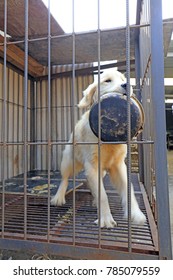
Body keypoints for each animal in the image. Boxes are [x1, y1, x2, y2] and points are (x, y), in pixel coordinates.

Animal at [51, 69, 146, 228]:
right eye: (107, 80)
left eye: (122, 79)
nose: (127, 85)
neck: (107, 142)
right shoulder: (92, 165)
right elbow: (103, 195)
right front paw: (106, 219)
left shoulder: (118, 165)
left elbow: (128, 191)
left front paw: (135, 214)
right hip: (69, 160)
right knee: (64, 178)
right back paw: (58, 197)